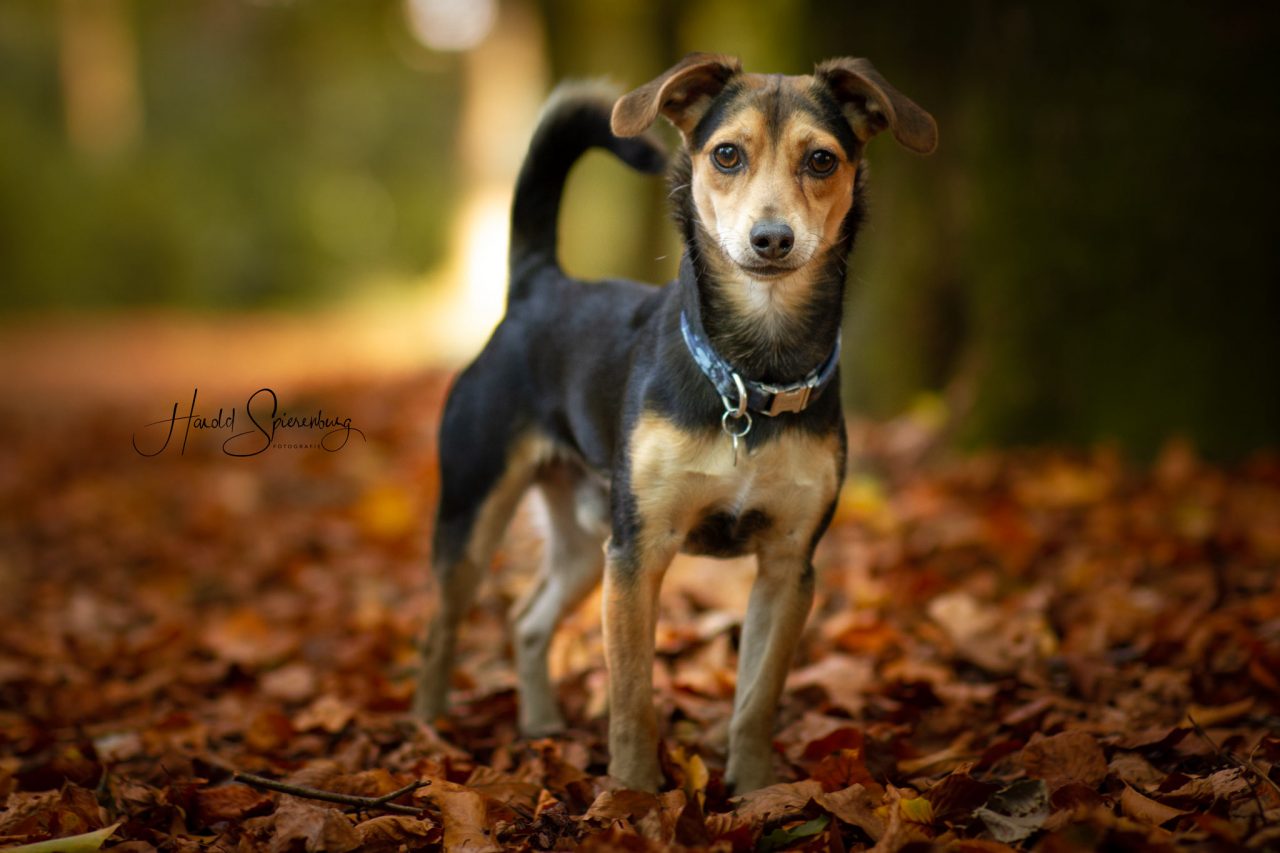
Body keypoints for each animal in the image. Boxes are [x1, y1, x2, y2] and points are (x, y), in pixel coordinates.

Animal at [414, 49, 936, 788]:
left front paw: (755, 789)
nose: (772, 238)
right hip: (479, 510)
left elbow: (757, 697)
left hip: (587, 537)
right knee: (441, 629)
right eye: (726, 154)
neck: (751, 373)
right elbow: (633, 695)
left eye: (822, 160)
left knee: (526, 619)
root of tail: (538, 285)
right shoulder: (639, 554)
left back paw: (540, 725)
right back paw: (428, 733)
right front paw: (633, 792)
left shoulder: (788, 564)